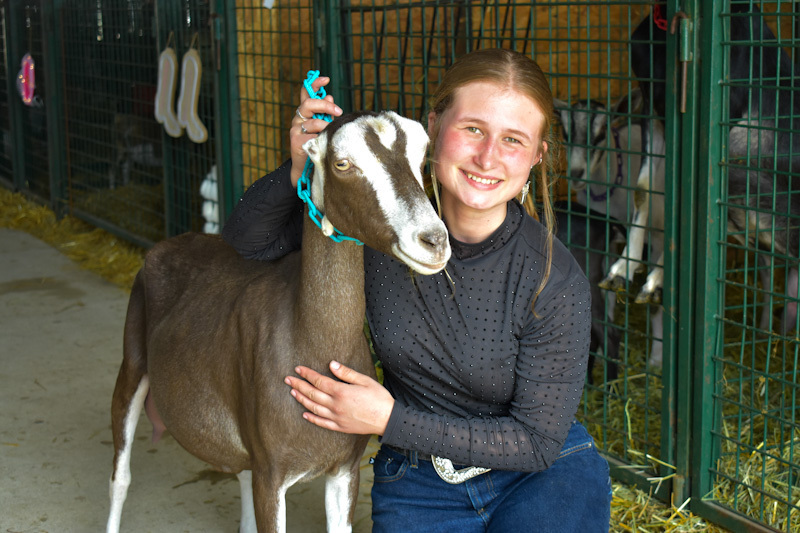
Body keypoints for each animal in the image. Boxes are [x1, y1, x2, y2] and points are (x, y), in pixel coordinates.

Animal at [105, 110, 451, 533]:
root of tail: (171, 241)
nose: (433, 241)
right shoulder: (272, 474)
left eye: (422, 157)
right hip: (132, 359)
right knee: (121, 476)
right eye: (342, 164)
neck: (308, 342)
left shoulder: (345, 469)